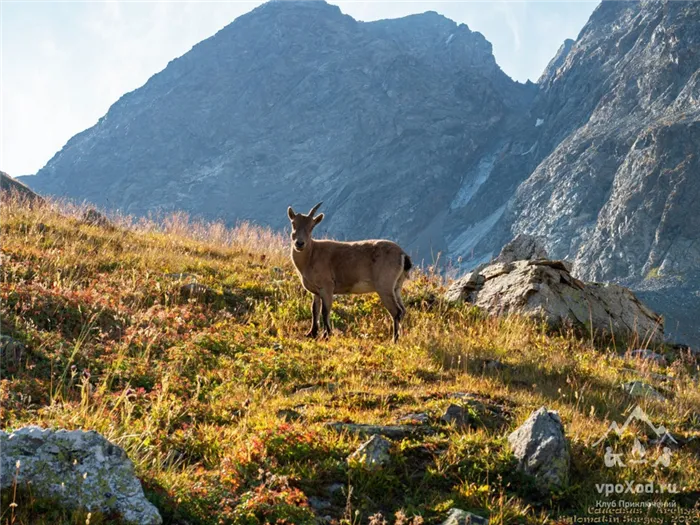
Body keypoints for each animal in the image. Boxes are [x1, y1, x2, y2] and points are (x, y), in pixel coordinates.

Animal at [288, 202, 412, 344]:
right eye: (293, 223)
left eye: (311, 226)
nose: (300, 243)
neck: (311, 255)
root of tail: (403, 255)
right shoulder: (316, 291)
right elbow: (314, 310)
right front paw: (311, 333)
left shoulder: (327, 286)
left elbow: (325, 311)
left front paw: (327, 335)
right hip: (396, 286)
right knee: (402, 310)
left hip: (384, 285)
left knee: (396, 311)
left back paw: (394, 340)